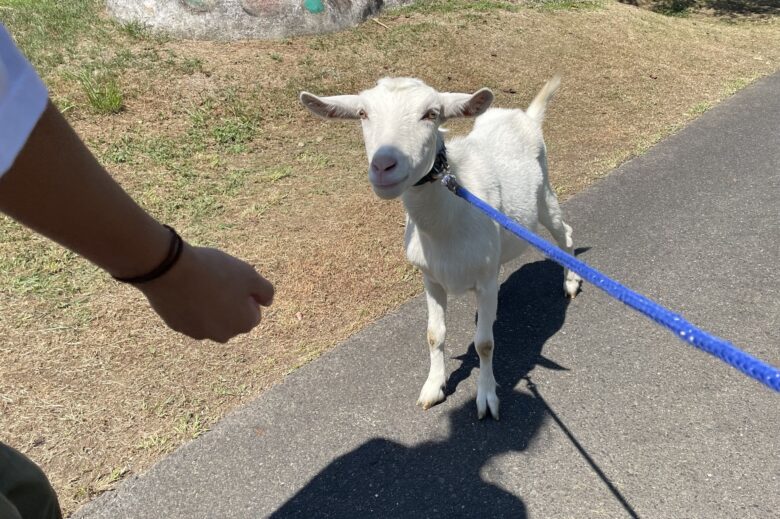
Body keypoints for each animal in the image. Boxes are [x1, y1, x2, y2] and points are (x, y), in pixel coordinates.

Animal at [302, 76, 580, 418]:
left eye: (431, 114)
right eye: (362, 113)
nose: (383, 165)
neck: (449, 218)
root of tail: (525, 116)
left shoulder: (484, 279)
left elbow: (484, 343)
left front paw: (487, 397)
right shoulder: (431, 278)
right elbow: (434, 335)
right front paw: (433, 387)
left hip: (544, 197)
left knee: (564, 234)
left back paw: (571, 282)